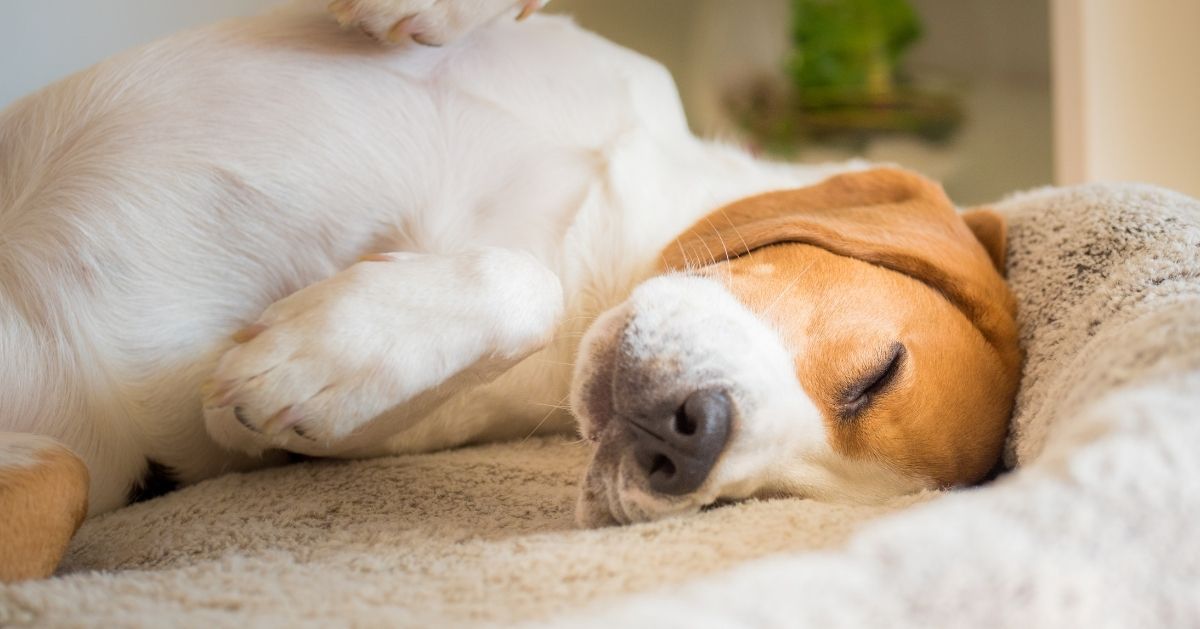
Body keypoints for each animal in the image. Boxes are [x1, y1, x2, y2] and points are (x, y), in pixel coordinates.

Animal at [0, 0, 1017, 580]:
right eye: (877, 373)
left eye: (758, 504)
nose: (690, 444)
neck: (601, 245)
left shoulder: (268, 444)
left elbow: (521, 285)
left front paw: (311, 362)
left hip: (69, 474)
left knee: (64, 474)